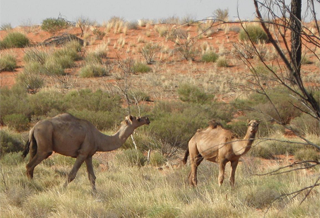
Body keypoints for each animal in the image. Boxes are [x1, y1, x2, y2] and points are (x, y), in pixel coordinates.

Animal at [22, 112, 150, 191]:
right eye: (138, 119)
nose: (147, 119)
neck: (99, 138)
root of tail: (33, 128)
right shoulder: (82, 153)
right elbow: (71, 174)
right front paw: (61, 189)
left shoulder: (89, 155)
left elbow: (92, 177)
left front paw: (95, 194)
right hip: (45, 148)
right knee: (30, 165)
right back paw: (32, 186)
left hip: (35, 146)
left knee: (30, 165)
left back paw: (31, 185)